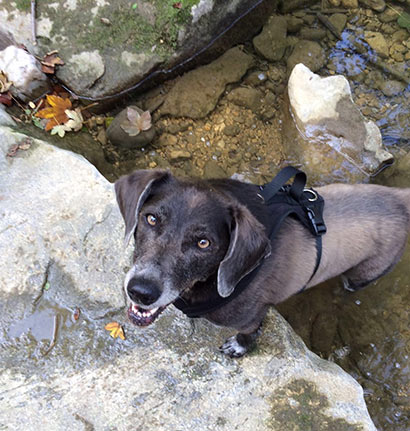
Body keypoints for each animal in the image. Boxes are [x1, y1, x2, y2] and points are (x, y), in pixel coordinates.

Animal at [115, 169, 410, 357]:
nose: (141, 291)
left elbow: (248, 333)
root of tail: (401, 198)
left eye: (203, 243)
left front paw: (239, 347)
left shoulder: (253, 316)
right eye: (151, 218)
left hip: (365, 273)